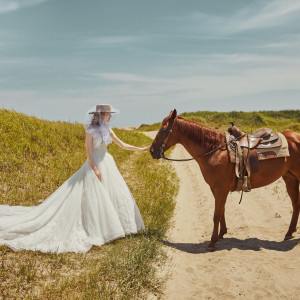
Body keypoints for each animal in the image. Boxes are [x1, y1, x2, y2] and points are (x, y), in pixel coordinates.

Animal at [150, 110, 300, 248]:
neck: (215, 151)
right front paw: (221, 234)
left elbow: (216, 214)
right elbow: (221, 211)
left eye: (163, 130)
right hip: (290, 178)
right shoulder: (216, 189)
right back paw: (289, 233)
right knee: (296, 203)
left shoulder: (220, 189)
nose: (152, 151)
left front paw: (212, 241)